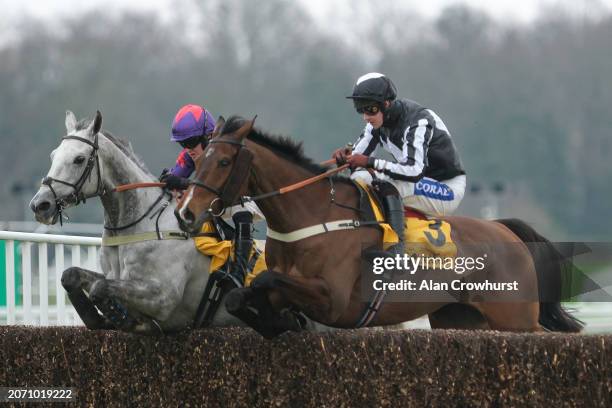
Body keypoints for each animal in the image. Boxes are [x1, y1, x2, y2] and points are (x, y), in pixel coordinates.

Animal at [173, 115, 584, 338]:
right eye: (199, 158)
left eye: (223, 161)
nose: (187, 212)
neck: (311, 215)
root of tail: (505, 230)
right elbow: (241, 295)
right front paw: (280, 320)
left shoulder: (334, 299)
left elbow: (265, 280)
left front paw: (285, 319)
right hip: (464, 318)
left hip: (514, 316)